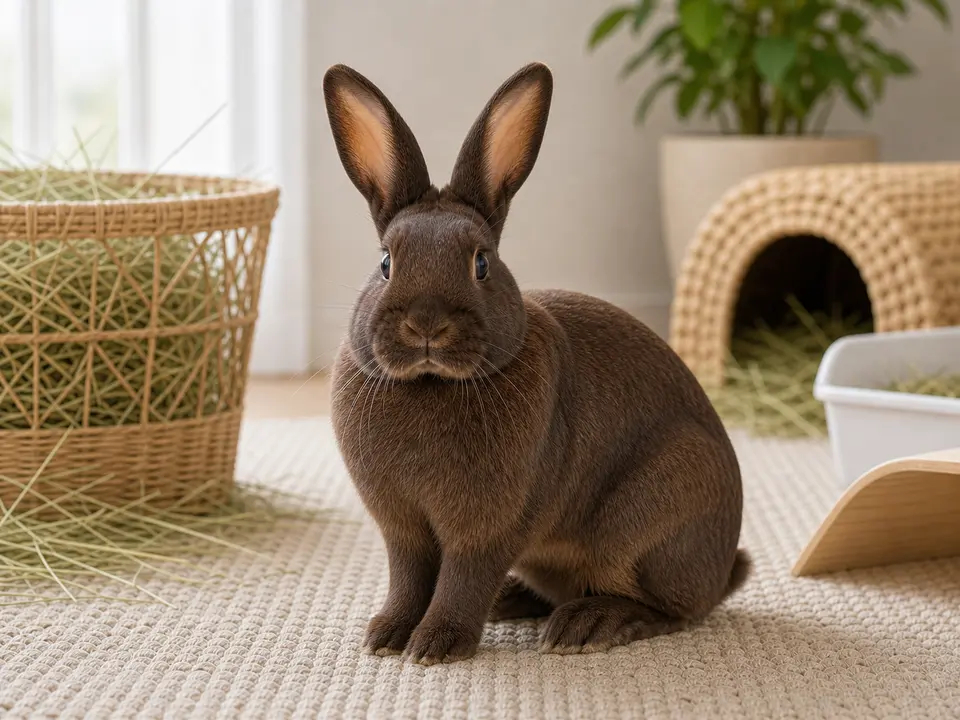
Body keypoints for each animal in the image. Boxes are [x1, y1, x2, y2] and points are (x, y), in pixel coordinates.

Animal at [323, 61, 750, 666]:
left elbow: (462, 579)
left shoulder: (488, 529)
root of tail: (724, 571)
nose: (427, 324)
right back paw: (513, 600)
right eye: (385, 262)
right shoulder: (403, 530)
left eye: (481, 263)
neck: (432, 382)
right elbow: (408, 579)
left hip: (650, 522)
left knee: (670, 610)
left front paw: (436, 645)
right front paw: (386, 636)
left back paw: (587, 625)